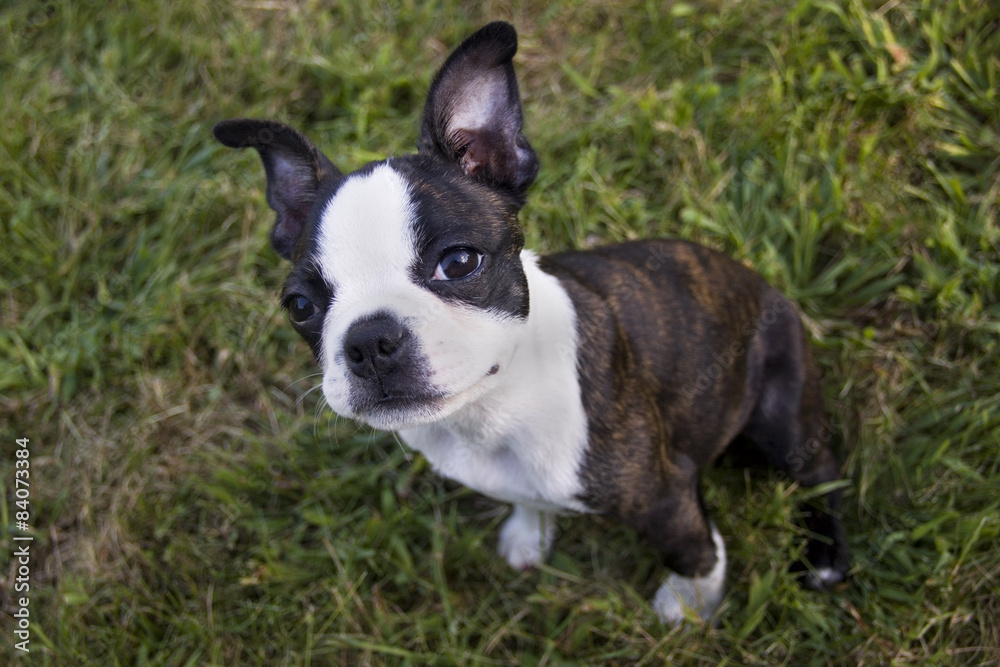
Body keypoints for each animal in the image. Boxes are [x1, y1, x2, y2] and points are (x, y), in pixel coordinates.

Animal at [215, 20, 848, 628]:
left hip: (781, 412)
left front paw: (691, 602)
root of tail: (765, 285)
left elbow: (693, 548)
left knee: (821, 471)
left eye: (458, 262)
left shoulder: (665, 496)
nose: (370, 340)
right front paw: (530, 531)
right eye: (300, 306)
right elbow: (531, 499)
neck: (488, 412)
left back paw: (823, 557)